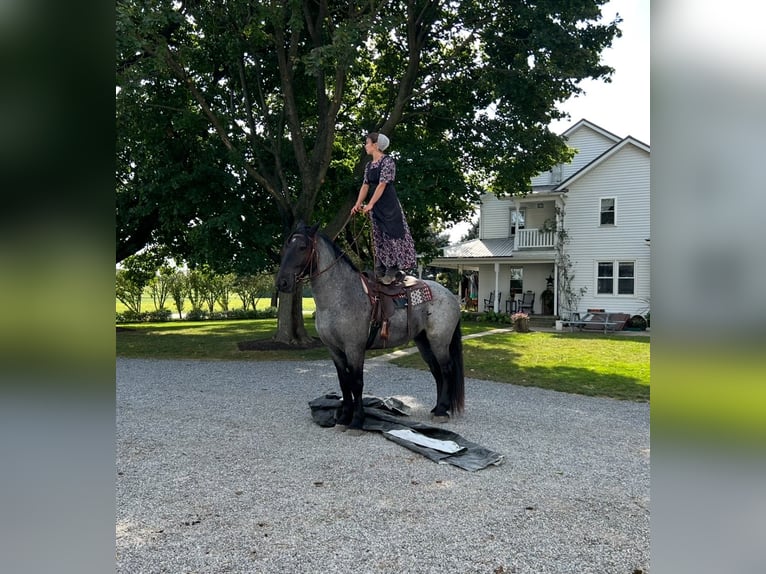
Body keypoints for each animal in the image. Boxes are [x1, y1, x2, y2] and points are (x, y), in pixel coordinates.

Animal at [278, 223, 468, 434]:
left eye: (302, 247)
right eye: (286, 246)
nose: (282, 282)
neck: (341, 296)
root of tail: (450, 295)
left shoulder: (354, 348)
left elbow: (356, 383)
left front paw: (356, 421)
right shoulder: (334, 350)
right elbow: (344, 382)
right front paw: (343, 418)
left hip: (439, 342)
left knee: (446, 369)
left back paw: (442, 411)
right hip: (423, 342)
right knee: (436, 371)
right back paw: (437, 408)